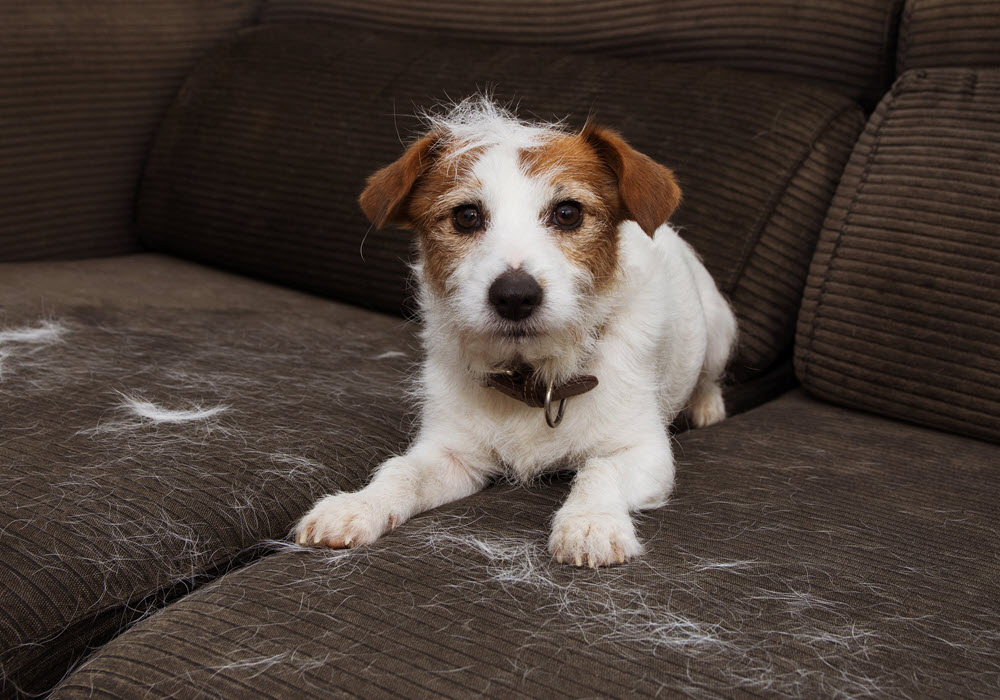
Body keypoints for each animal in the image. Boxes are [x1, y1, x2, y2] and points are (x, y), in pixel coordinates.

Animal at [292, 97, 740, 568]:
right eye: (466, 216)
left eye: (568, 213)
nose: (514, 296)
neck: (533, 377)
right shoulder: (452, 454)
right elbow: (402, 471)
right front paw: (357, 506)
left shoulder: (643, 452)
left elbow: (601, 469)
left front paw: (590, 522)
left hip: (719, 328)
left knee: (709, 375)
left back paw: (707, 407)